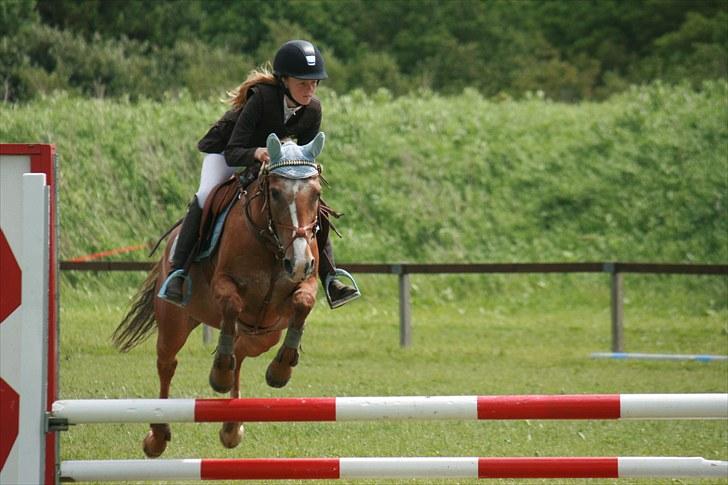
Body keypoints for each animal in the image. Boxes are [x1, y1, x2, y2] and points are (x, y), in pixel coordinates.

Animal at [112, 132, 326, 458]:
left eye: (316, 193)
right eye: (276, 193)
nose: (299, 261)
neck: (271, 242)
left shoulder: (305, 283)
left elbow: (304, 302)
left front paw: (279, 371)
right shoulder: (223, 285)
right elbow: (232, 304)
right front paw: (220, 373)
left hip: (265, 334)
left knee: (241, 350)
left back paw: (231, 427)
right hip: (175, 321)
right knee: (167, 363)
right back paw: (157, 436)